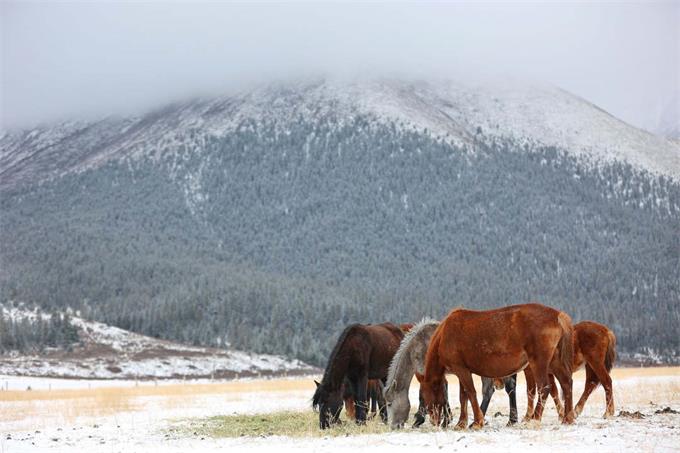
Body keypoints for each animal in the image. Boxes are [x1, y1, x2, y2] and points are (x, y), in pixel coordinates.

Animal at [386, 318, 516, 428]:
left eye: (390, 404)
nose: (394, 426)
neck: (418, 346)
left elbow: (437, 395)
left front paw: (439, 421)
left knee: (499, 389)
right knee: (493, 389)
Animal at [420, 304, 572, 428]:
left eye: (424, 399)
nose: (435, 422)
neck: (444, 334)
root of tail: (557, 315)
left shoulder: (461, 370)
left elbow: (470, 393)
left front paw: (477, 422)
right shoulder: (461, 371)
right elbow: (463, 396)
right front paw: (461, 423)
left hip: (539, 363)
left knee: (544, 387)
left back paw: (535, 418)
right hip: (554, 361)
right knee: (566, 383)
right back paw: (568, 419)